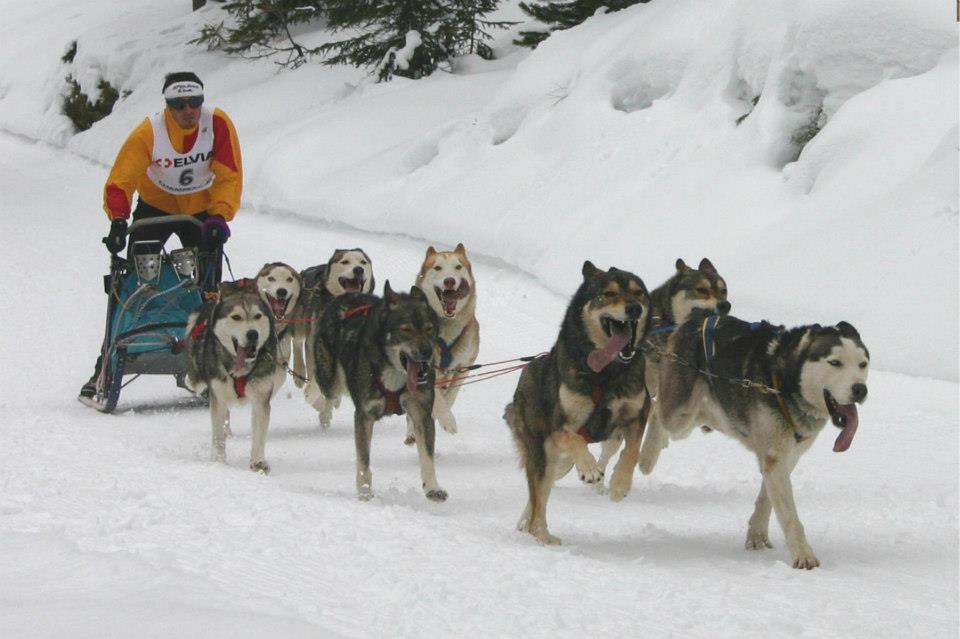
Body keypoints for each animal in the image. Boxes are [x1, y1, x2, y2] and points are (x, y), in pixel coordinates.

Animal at [185, 280, 284, 476]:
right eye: (236, 317)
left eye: (257, 316)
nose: (253, 334)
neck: (241, 367)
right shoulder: (218, 397)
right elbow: (218, 435)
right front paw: (219, 462)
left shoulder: (261, 397)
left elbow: (259, 433)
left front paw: (258, 462)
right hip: (198, 376)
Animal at [312, 282, 446, 502]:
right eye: (406, 329)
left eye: (429, 329)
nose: (426, 352)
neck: (394, 374)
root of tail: (344, 297)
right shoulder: (364, 416)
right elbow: (364, 460)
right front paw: (365, 493)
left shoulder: (421, 412)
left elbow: (427, 455)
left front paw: (433, 487)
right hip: (329, 378)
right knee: (329, 395)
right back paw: (323, 414)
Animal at [402, 242, 480, 448]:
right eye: (437, 268)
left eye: (458, 267)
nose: (450, 281)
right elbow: (436, 398)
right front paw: (447, 419)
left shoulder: (464, 366)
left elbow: (450, 395)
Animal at [502, 260, 652, 544]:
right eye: (609, 293)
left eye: (639, 293)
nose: (634, 308)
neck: (604, 374)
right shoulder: (560, 426)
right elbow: (574, 438)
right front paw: (590, 469)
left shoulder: (638, 414)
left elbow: (633, 451)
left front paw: (619, 484)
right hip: (540, 455)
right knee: (538, 500)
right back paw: (542, 535)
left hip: (555, 463)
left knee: (540, 494)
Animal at [636, 310, 872, 568]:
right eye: (835, 362)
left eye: (863, 364)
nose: (860, 389)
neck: (784, 382)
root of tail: (695, 319)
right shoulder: (775, 457)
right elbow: (789, 516)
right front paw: (803, 555)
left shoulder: (784, 458)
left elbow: (767, 499)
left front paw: (757, 535)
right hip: (679, 415)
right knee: (657, 410)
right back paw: (648, 456)